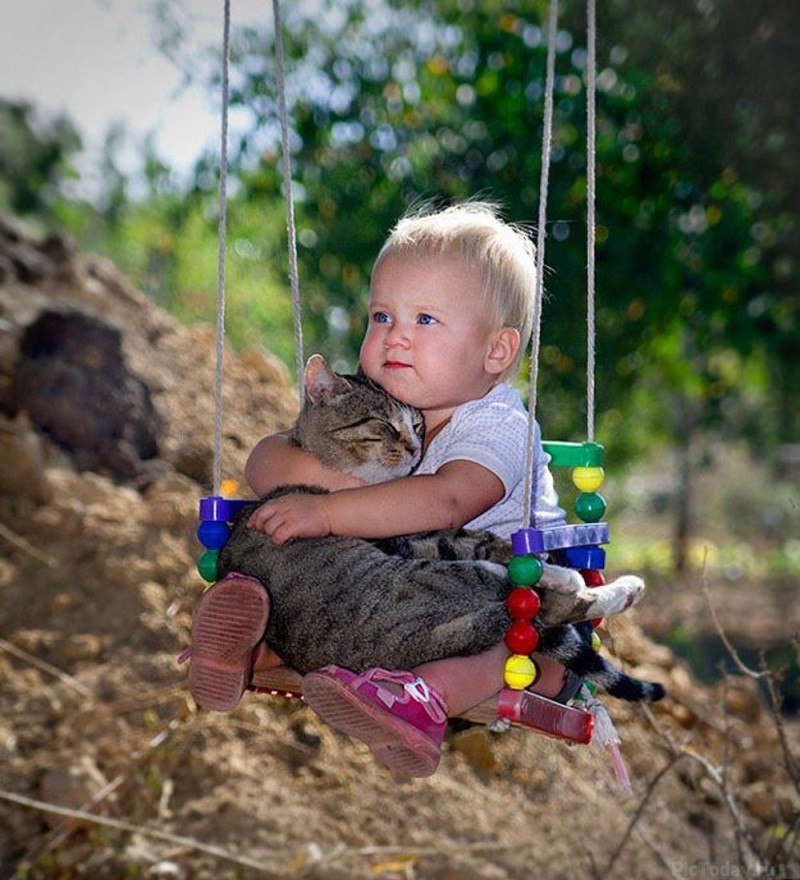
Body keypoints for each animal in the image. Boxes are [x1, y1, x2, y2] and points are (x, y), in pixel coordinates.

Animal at [216, 354, 664, 704]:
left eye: (417, 425)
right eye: (382, 424)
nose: (416, 448)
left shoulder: (420, 532)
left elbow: (480, 539)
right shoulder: (410, 538)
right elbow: (483, 543)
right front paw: (556, 571)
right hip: (442, 579)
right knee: (543, 604)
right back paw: (603, 585)